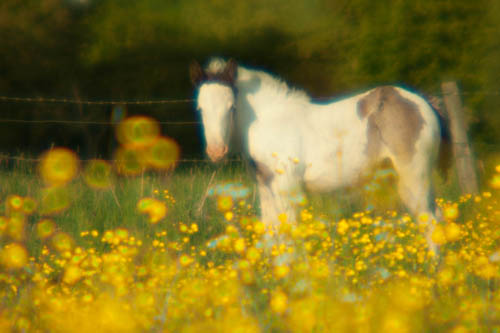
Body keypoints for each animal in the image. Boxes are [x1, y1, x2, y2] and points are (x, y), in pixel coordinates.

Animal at [190, 57, 446, 252]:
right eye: (200, 108)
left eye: (231, 107)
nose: (216, 151)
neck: (269, 120)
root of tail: (425, 104)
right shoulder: (265, 186)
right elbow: (271, 232)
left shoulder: (288, 185)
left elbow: (290, 232)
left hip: (414, 176)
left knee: (430, 222)